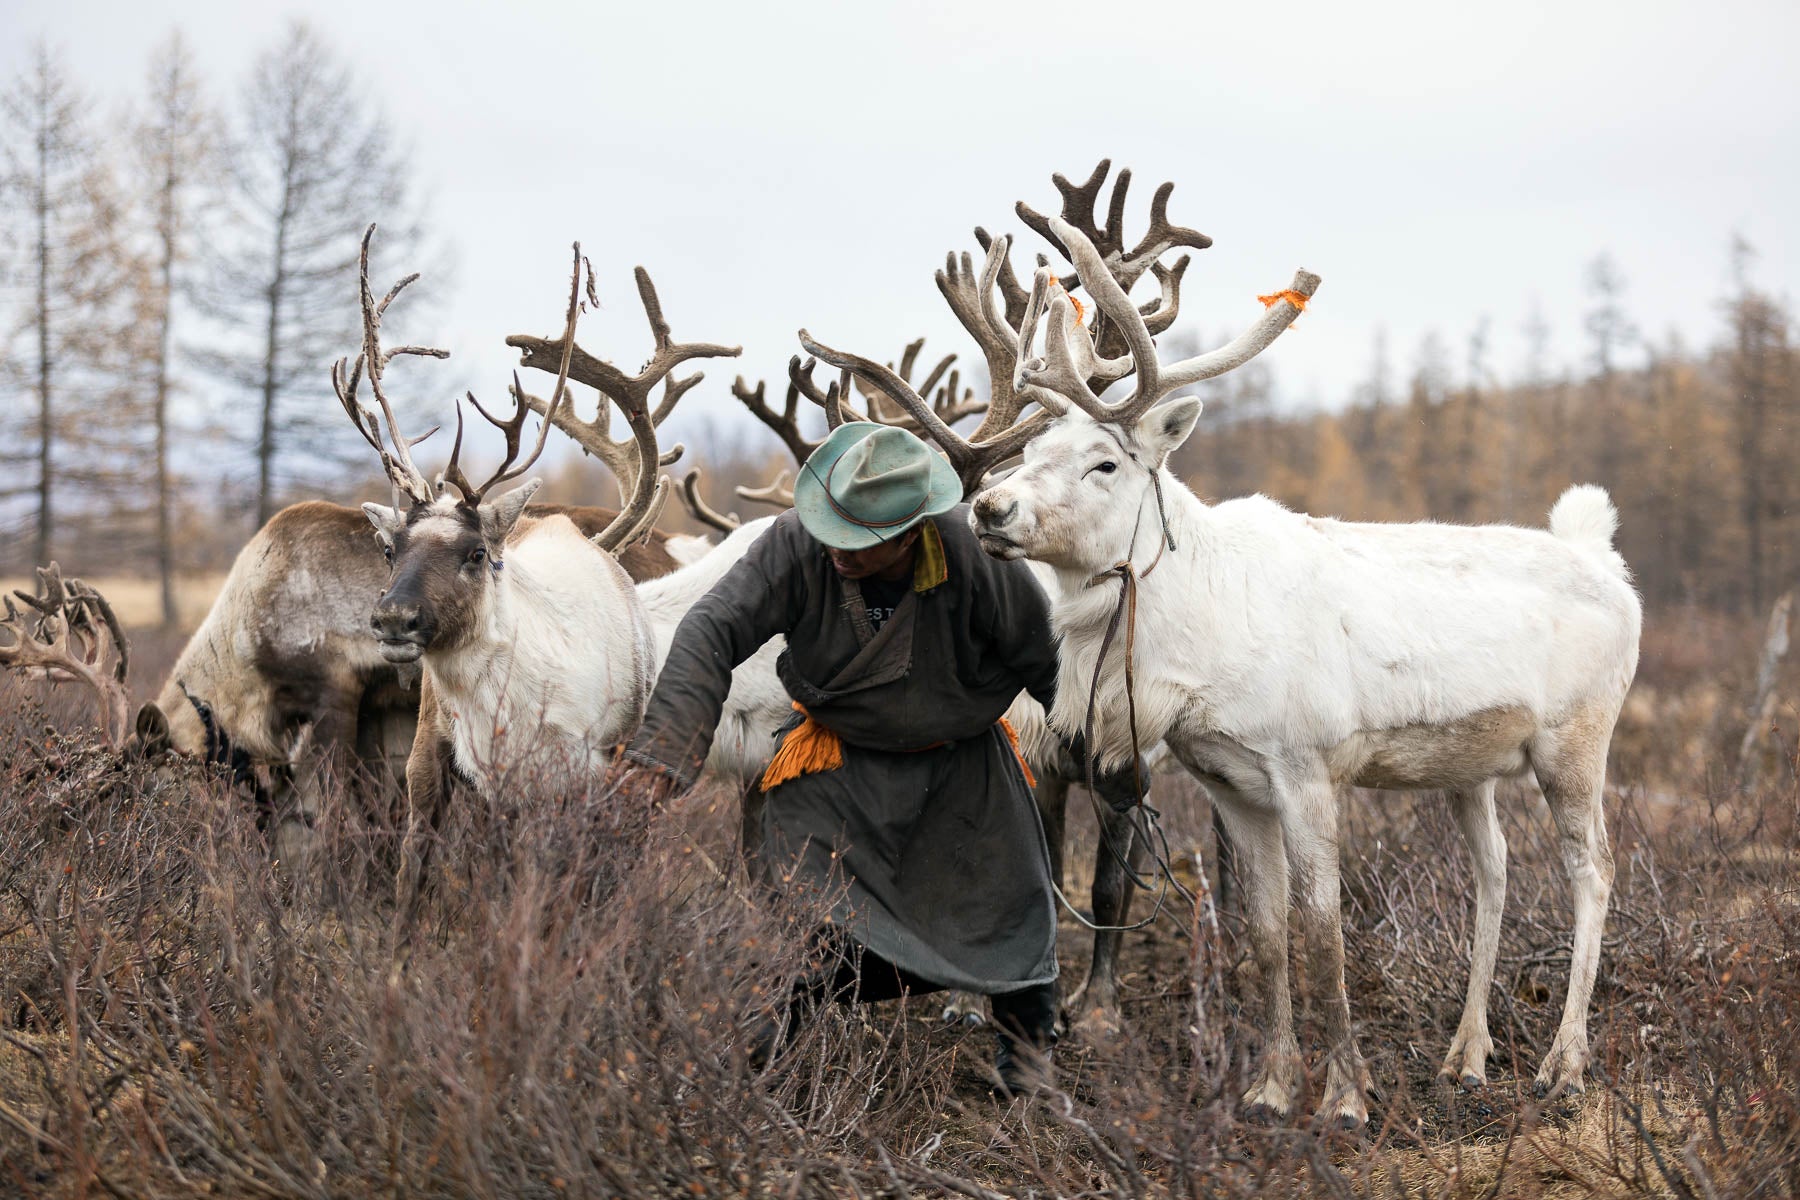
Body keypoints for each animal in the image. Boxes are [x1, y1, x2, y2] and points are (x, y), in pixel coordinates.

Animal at [943, 193, 1642, 1128]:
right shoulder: (1231, 784)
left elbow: (1323, 932)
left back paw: (1564, 1063)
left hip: (1575, 743)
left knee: (1593, 872)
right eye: (1029, 453)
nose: (990, 506)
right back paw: (1466, 1054)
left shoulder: (1307, 770)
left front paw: (1346, 1096)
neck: (1189, 641)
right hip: (1471, 766)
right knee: (1494, 871)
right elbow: (1267, 935)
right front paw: (1272, 1088)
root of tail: (1608, 561)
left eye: (1104, 462)